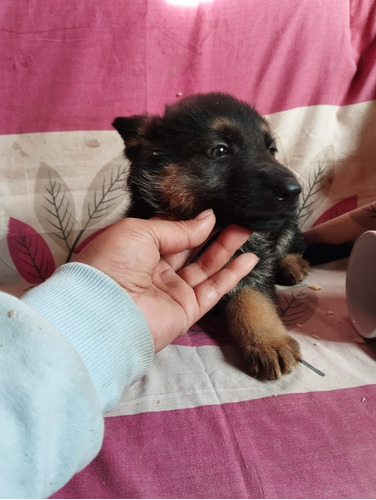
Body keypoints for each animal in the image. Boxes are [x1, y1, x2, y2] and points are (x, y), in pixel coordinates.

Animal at [114, 92, 308, 380]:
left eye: (271, 149)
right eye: (220, 150)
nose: (295, 190)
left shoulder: (255, 261)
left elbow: (254, 300)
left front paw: (267, 340)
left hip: (286, 227)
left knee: (293, 241)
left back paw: (292, 264)